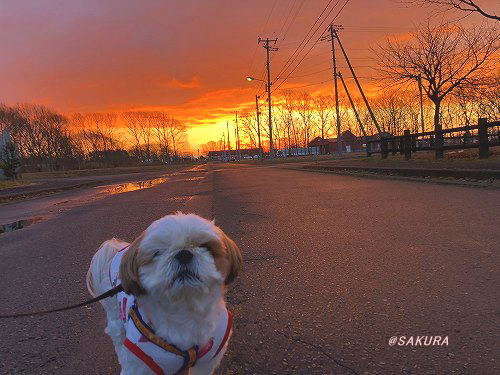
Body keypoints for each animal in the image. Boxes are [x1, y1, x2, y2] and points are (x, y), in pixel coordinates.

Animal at [86, 214, 242, 375]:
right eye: (158, 253)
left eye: (206, 247)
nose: (184, 253)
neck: (185, 310)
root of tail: (118, 249)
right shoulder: (140, 364)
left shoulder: (207, 360)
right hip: (115, 316)